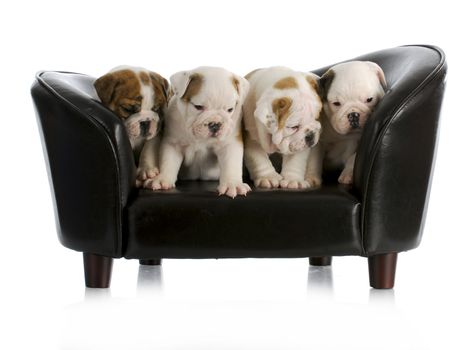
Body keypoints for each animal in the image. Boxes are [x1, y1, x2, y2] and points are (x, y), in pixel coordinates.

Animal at [144, 65, 253, 197]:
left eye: (230, 109)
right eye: (198, 107)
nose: (215, 124)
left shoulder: (229, 144)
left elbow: (231, 163)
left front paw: (233, 184)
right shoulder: (173, 144)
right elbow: (168, 161)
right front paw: (163, 179)